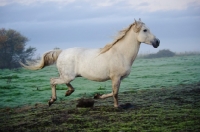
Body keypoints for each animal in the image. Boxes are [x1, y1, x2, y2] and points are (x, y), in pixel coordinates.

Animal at [20, 18, 159, 107]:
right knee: (53, 81)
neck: (121, 53)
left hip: (67, 76)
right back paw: (51, 101)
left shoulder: (118, 79)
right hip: (67, 76)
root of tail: (62, 52)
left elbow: (113, 92)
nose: (157, 42)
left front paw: (97, 96)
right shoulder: (115, 77)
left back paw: (68, 92)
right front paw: (116, 106)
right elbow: (115, 93)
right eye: (145, 30)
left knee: (64, 83)